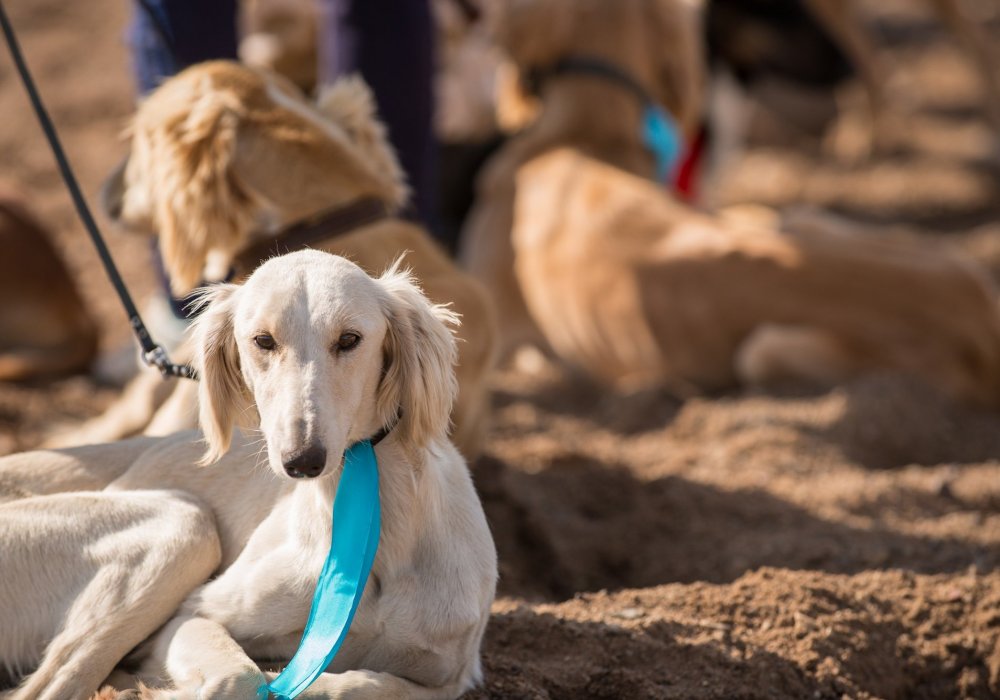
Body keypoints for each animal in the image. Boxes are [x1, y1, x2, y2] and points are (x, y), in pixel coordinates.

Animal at [0, 252, 498, 700]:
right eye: (263, 340)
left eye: (349, 339)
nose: (302, 459)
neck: (378, 522)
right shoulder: (190, 618)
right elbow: (242, 677)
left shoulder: (450, 675)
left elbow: (356, 685)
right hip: (185, 525)